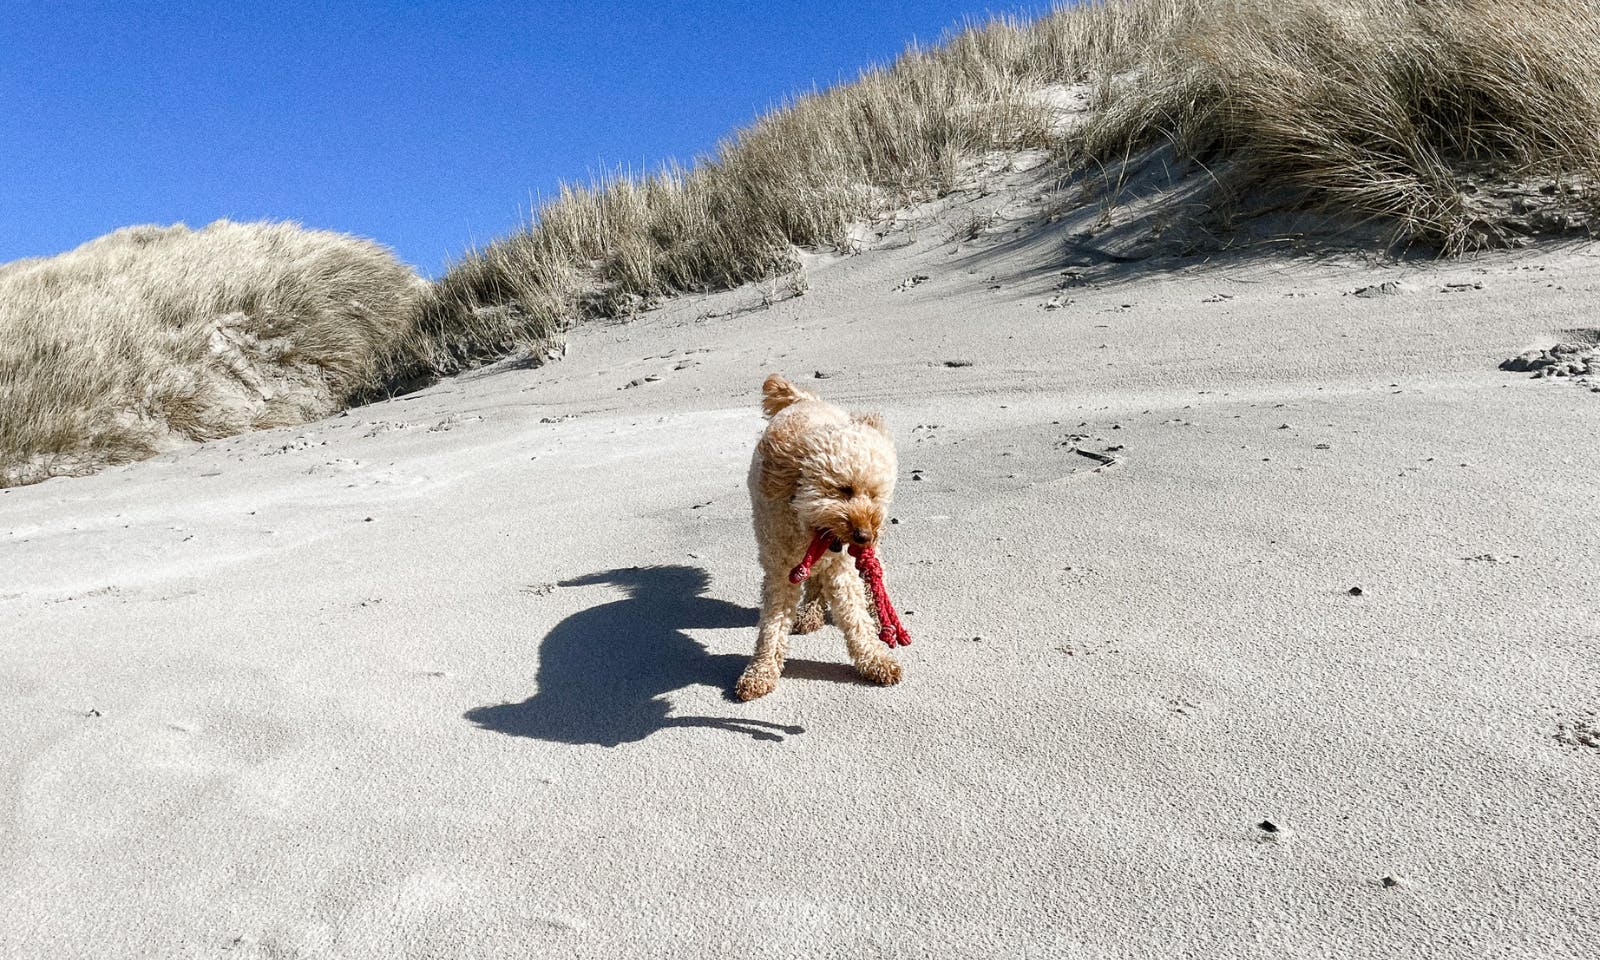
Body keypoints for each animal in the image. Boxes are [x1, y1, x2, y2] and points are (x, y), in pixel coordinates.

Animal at [732, 371, 902, 700]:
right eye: (844, 489)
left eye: (875, 495)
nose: (864, 536)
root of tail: (806, 401)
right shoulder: (780, 569)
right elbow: (772, 624)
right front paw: (761, 671)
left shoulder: (842, 567)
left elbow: (854, 616)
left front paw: (875, 659)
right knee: (814, 583)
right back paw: (811, 610)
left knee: (872, 577)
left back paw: (877, 614)